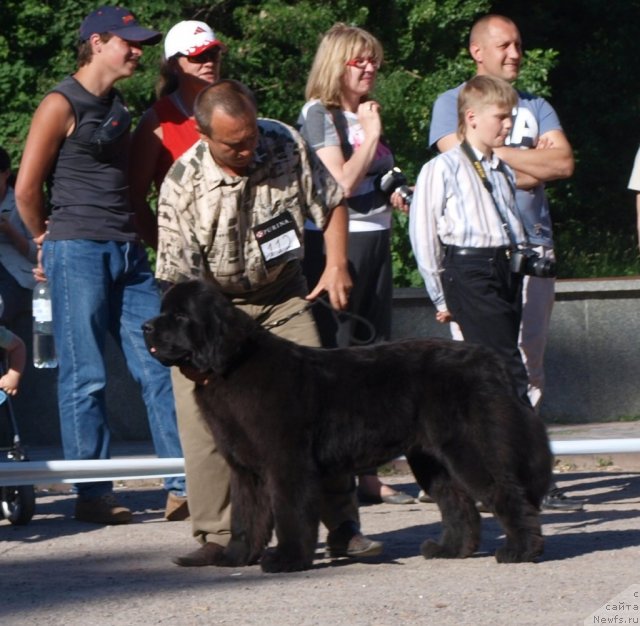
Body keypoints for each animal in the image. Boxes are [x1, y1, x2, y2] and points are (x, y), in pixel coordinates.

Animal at [142, 278, 552, 572]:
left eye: (179, 317)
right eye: (162, 311)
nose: (146, 327)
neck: (232, 364)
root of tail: (489, 359)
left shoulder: (286, 462)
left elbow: (289, 513)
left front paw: (287, 559)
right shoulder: (246, 470)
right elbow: (247, 517)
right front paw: (236, 557)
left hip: (470, 448)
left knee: (506, 493)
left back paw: (521, 550)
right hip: (431, 459)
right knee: (457, 503)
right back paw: (450, 550)